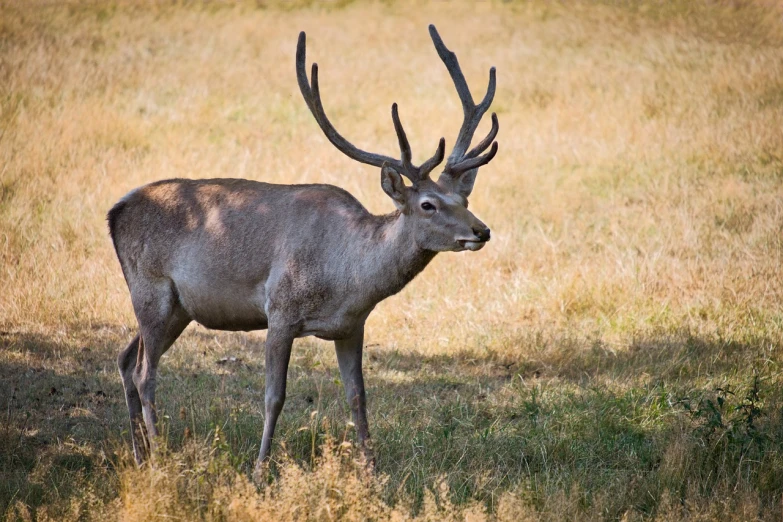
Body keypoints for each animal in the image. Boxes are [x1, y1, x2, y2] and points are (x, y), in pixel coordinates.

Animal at [107, 24, 500, 474]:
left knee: (125, 359)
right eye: (428, 205)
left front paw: (372, 470)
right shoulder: (279, 310)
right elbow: (273, 397)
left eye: (464, 199)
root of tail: (115, 211)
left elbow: (358, 397)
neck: (347, 281)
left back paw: (140, 455)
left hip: (178, 308)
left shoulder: (352, 326)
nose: (482, 231)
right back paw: (161, 458)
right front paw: (260, 470)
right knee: (144, 372)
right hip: (150, 288)